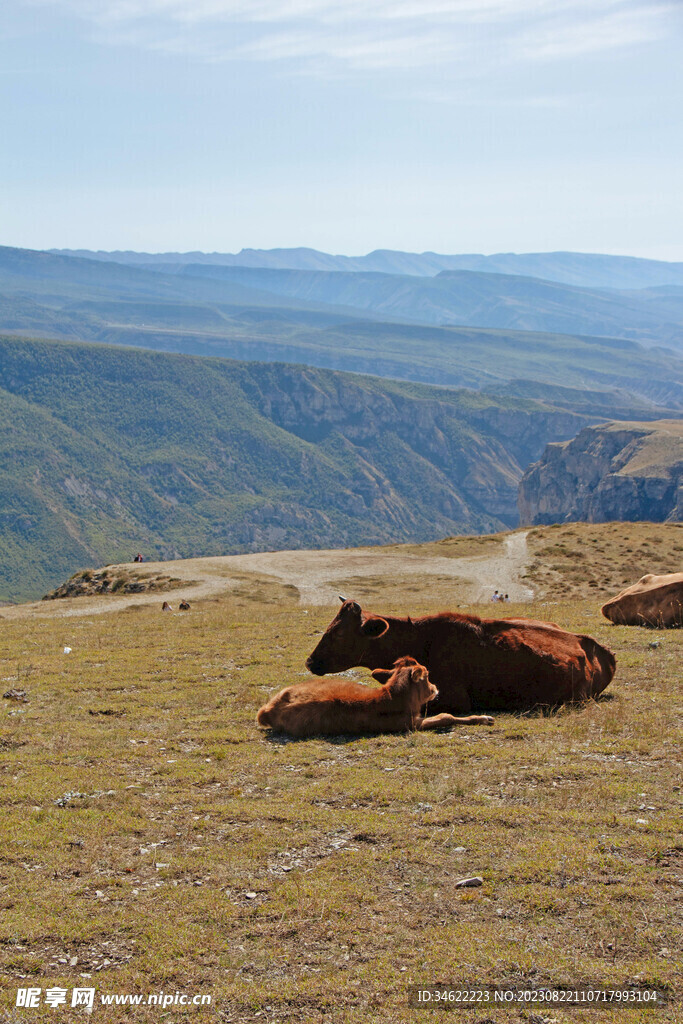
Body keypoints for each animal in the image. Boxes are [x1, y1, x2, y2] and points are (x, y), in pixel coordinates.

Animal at [254, 659, 491, 741]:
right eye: (427, 676)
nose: (435, 688)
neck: (395, 697)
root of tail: (268, 709)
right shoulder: (410, 724)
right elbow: (445, 716)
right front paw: (483, 718)